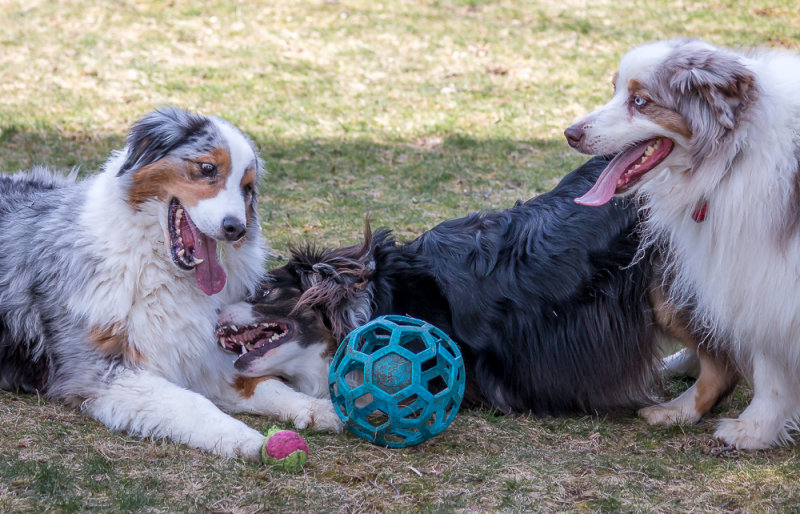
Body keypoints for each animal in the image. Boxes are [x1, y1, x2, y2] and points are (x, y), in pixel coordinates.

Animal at [0, 106, 340, 458]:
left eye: (247, 188)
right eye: (207, 168)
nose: (236, 228)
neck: (160, 270)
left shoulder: (201, 357)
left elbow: (264, 385)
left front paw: (316, 407)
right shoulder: (100, 371)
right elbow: (191, 403)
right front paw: (242, 437)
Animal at [564, 39, 800, 448]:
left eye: (640, 101)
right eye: (614, 89)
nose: (570, 133)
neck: (735, 153)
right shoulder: (759, 271)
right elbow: (770, 364)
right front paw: (756, 429)